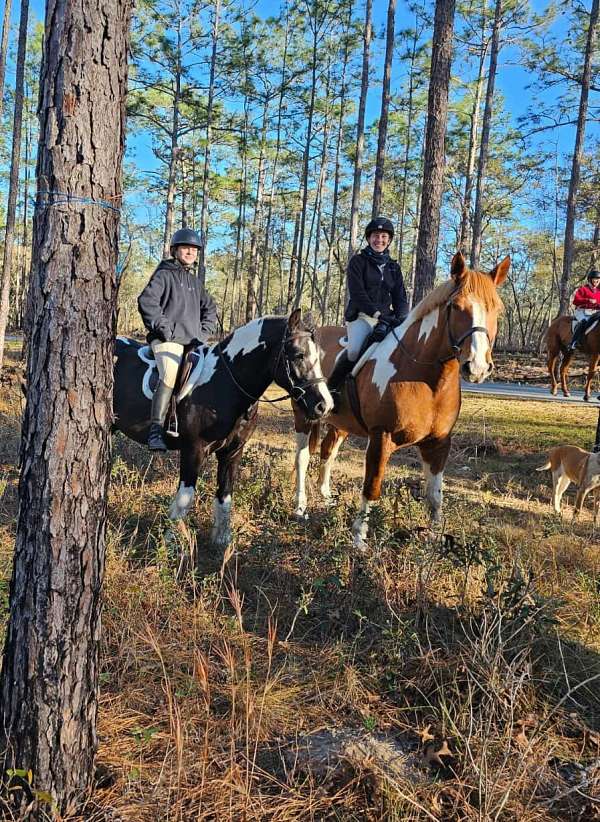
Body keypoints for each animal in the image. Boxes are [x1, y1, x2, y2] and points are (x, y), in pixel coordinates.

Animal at [113, 312, 332, 552]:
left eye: (320, 355)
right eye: (299, 355)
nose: (324, 405)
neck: (226, 383)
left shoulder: (232, 451)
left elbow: (225, 495)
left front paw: (222, 541)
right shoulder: (193, 450)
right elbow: (184, 499)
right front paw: (171, 543)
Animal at [292, 251, 508, 548]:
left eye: (496, 309)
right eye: (456, 307)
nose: (476, 367)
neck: (427, 379)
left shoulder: (438, 443)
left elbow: (435, 495)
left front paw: (435, 540)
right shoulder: (381, 438)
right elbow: (372, 486)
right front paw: (359, 538)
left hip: (340, 424)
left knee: (328, 451)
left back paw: (325, 498)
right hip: (304, 417)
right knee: (302, 457)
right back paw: (299, 508)